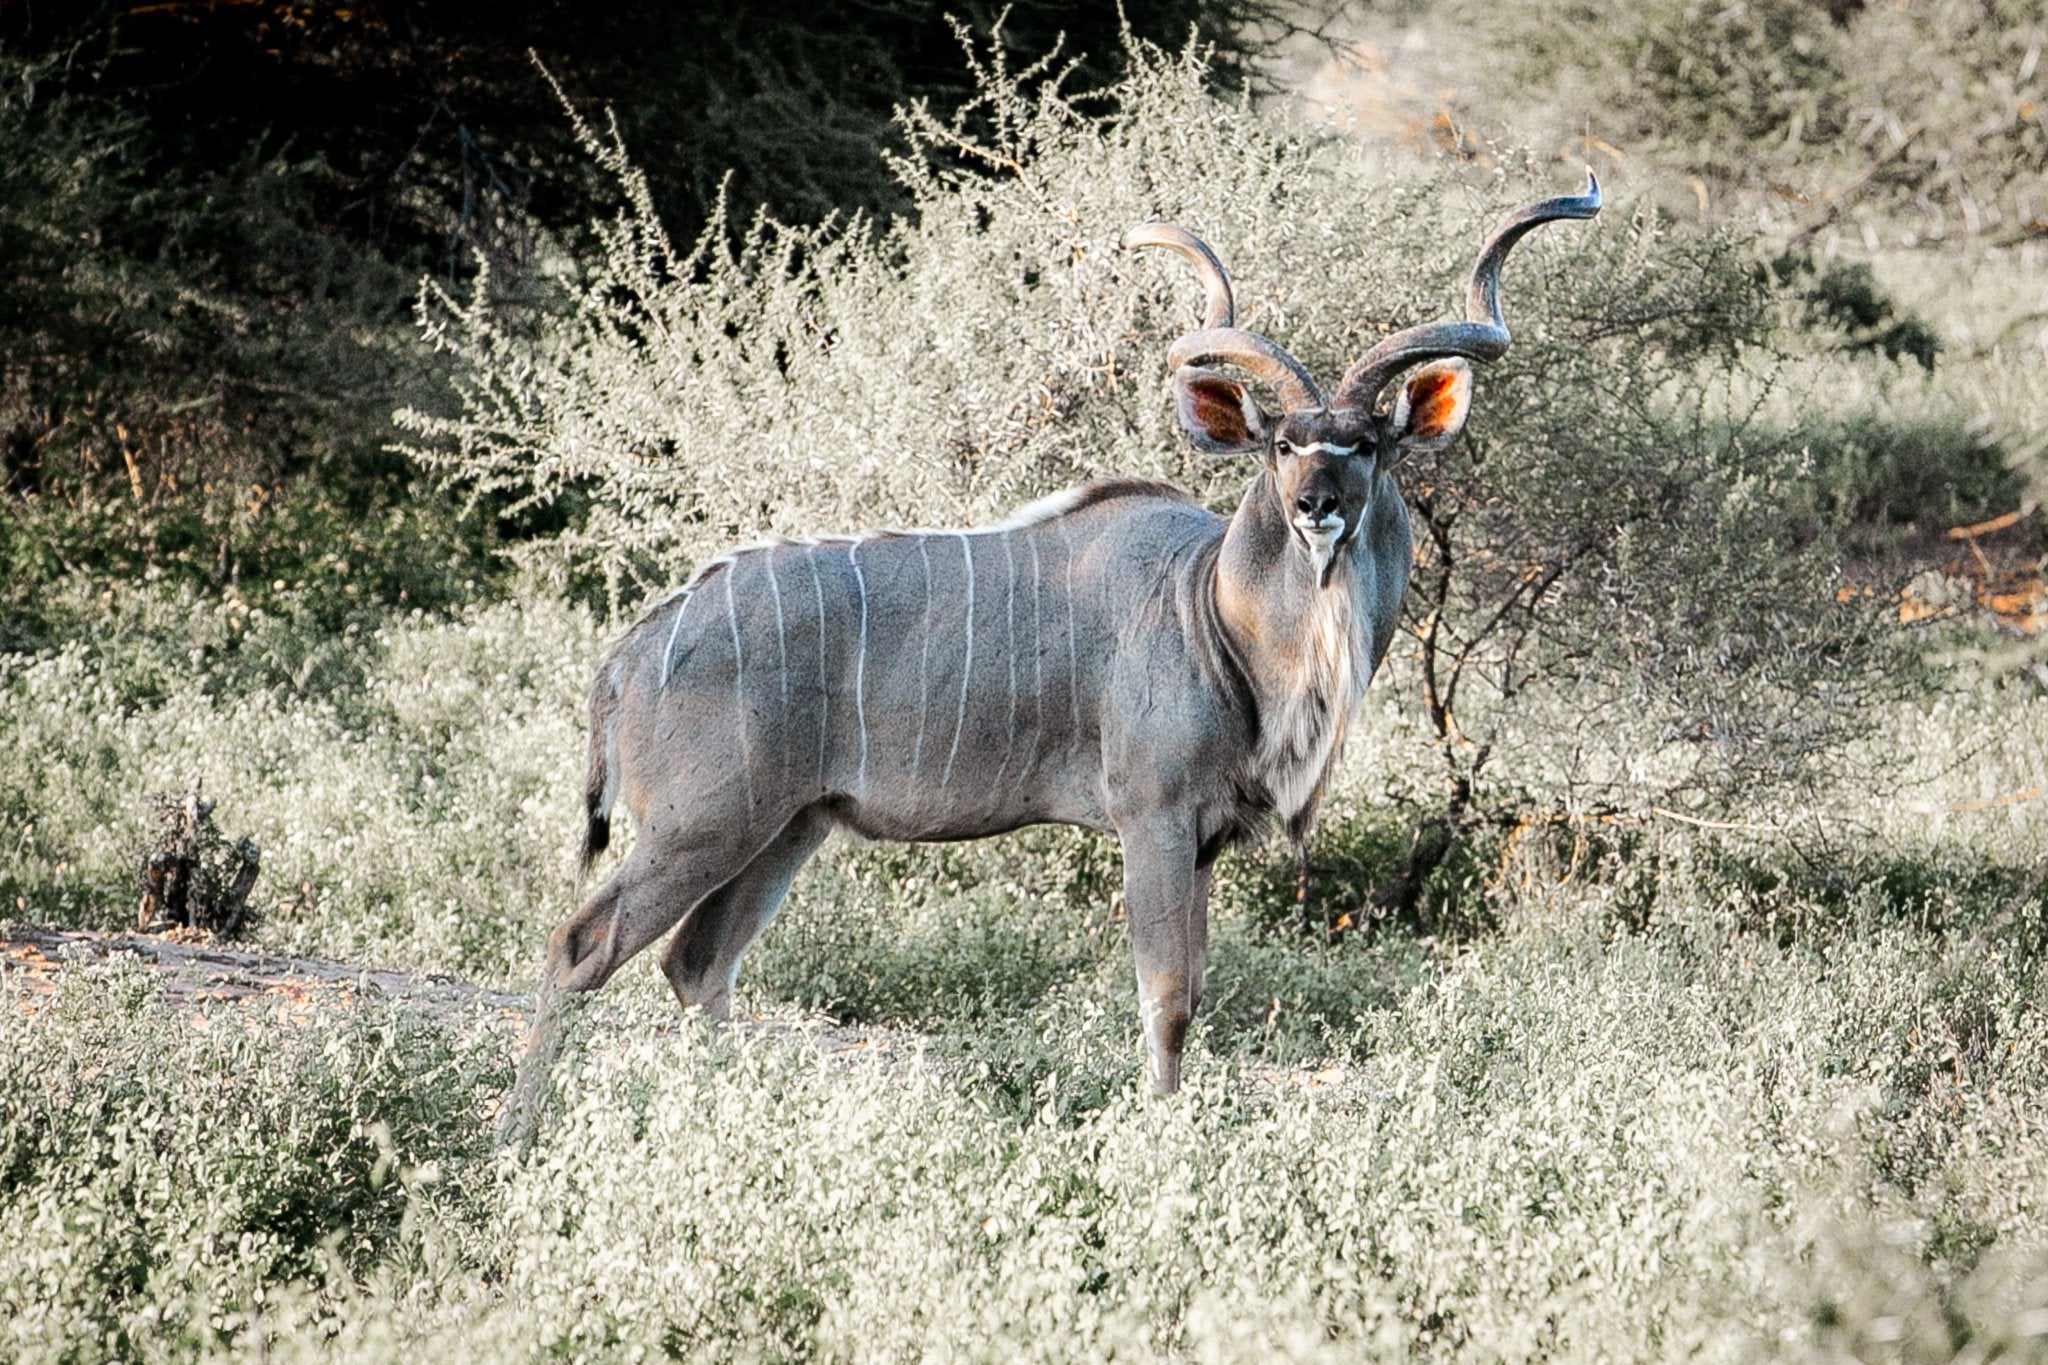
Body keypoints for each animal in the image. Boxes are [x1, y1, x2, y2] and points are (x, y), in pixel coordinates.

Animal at [545, 176, 1600, 1093]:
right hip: (703, 823)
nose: (1316, 505)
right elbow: (1168, 999)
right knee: (582, 946)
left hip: (786, 826)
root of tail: (626, 657)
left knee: (697, 965)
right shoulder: (1154, 816)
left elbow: (1192, 990)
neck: (1215, 612)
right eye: (1281, 443)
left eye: (1368, 443)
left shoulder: (1201, 838)